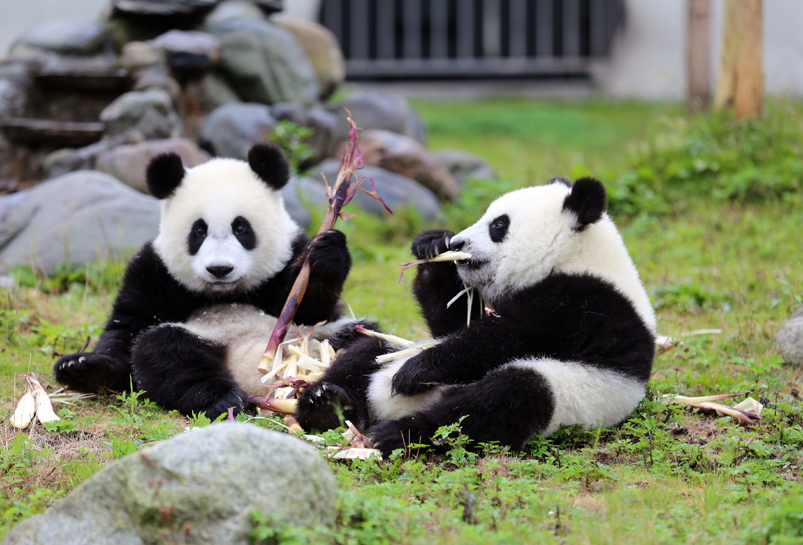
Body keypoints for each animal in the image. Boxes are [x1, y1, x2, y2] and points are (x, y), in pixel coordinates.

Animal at [54, 143, 368, 418]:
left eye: (240, 227)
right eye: (199, 231)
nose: (220, 269)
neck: (226, 294)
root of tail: (256, 382)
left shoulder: (289, 258)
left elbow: (313, 310)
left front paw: (327, 254)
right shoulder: (154, 273)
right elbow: (129, 326)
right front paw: (84, 367)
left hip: (319, 341)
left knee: (363, 348)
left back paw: (325, 402)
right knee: (165, 349)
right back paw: (224, 399)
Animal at [294, 177, 656, 456]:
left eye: (498, 225)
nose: (458, 242)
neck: (576, 256)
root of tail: (384, 406)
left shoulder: (584, 302)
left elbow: (508, 337)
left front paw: (416, 372)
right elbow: (455, 323)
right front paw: (432, 245)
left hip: (569, 390)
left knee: (498, 402)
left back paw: (395, 432)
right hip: (395, 348)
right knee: (365, 354)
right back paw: (325, 405)